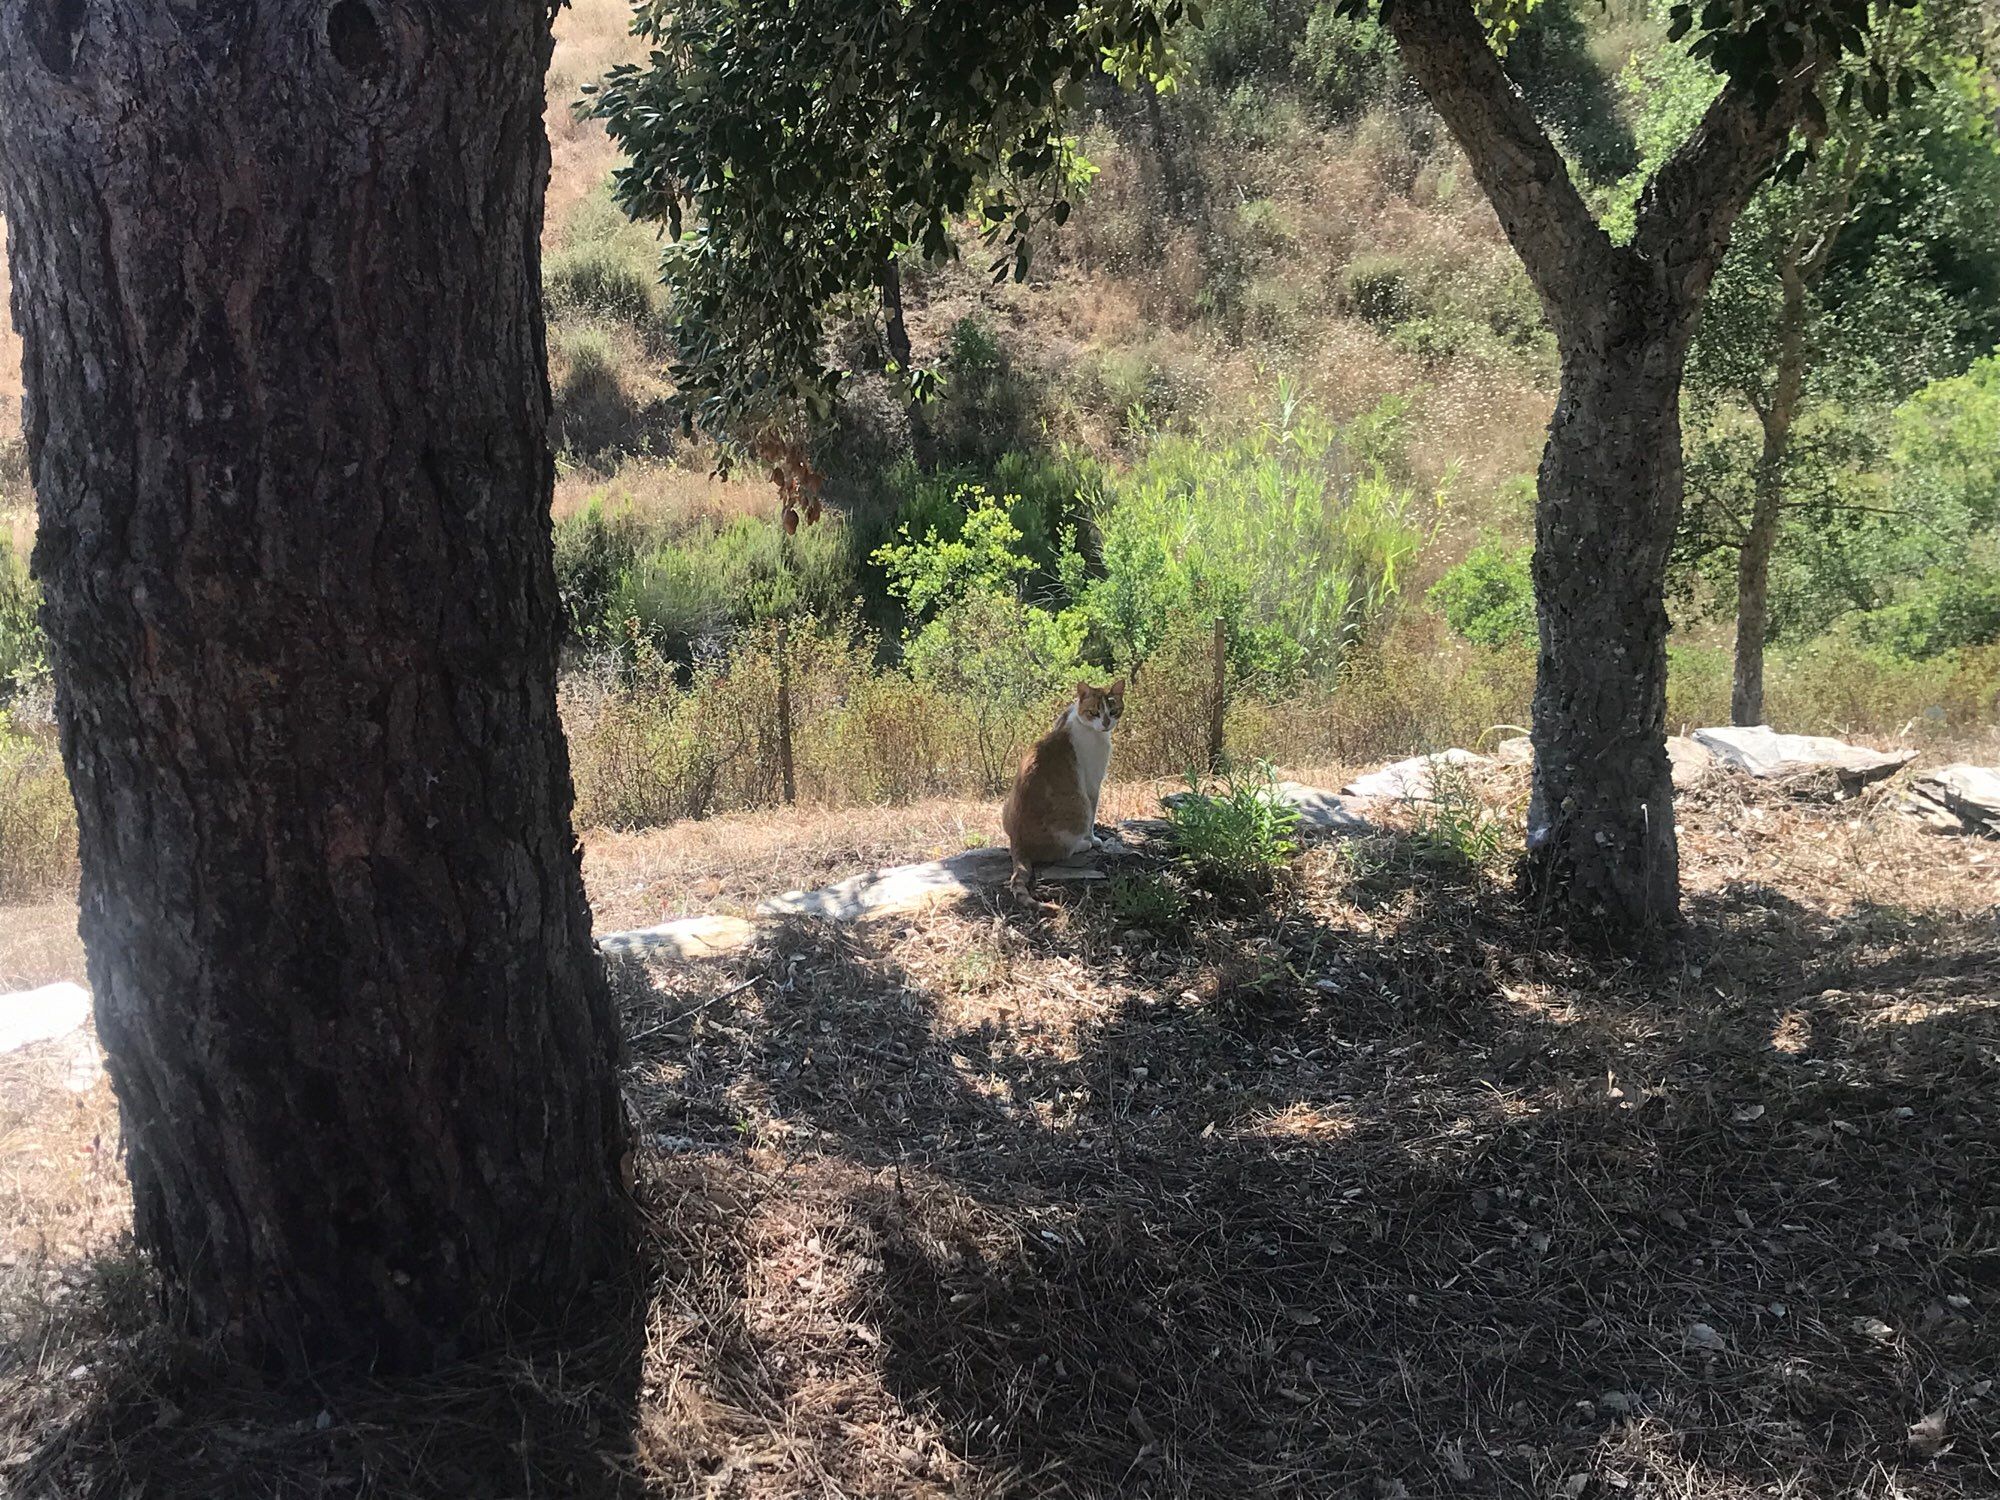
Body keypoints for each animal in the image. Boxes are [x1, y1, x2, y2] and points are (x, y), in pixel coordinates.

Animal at [1000, 680, 1128, 892]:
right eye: (1094, 712)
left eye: (1113, 711)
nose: (1106, 723)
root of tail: (1018, 842)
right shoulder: (1092, 786)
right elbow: (1092, 820)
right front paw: (1093, 839)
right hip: (1080, 806)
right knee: (1061, 852)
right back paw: (1082, 845)